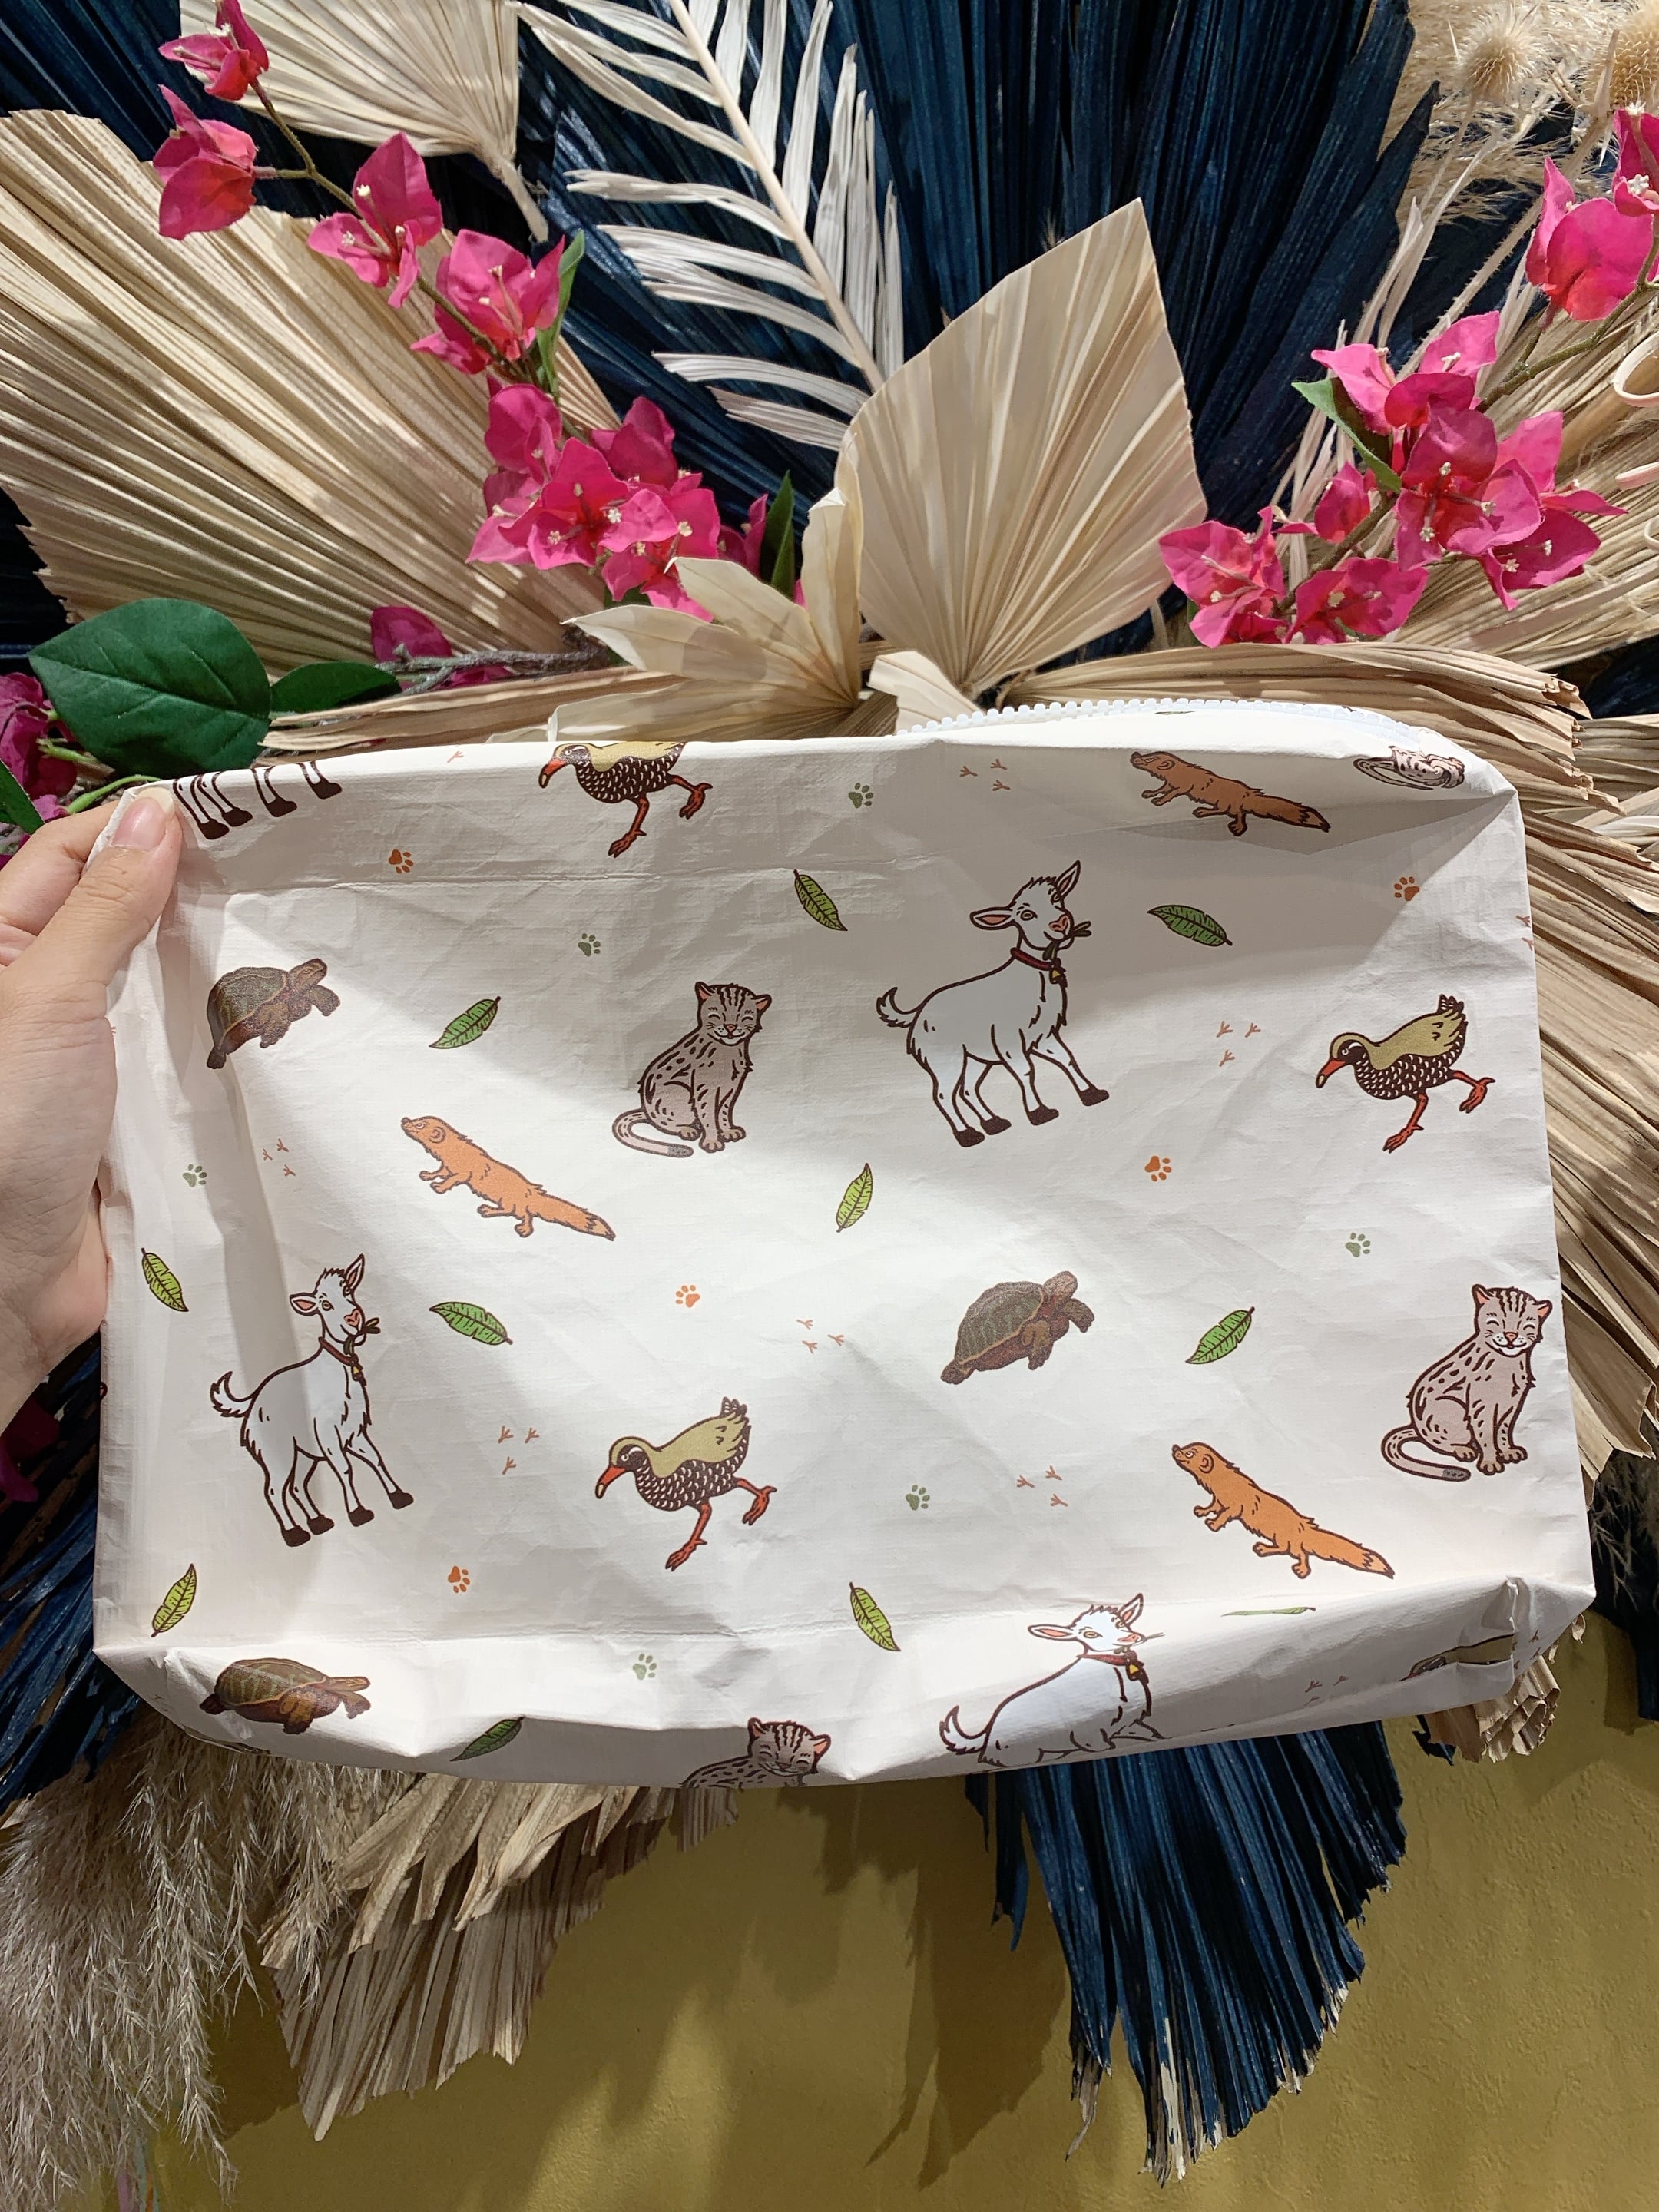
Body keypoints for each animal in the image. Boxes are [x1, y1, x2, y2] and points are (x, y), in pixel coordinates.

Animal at [209, 1255, 411, 1547]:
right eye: (325, 1305)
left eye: (348, 1291)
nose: (354, 1318)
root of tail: (253, 1402)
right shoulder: (328, 1433)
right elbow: (345, 1468)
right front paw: (358, 1513)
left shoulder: (355, 1431)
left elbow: (376, 1458)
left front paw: (398, 1496)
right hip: (276, 1451)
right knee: (274, 1490)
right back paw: (294, 1534)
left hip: (302, 1453)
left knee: (296, 1486)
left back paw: (319, 1522)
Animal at [876, 862, 1109, 1145]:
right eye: (1026, 914)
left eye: (1056, 898)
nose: (1061, 923)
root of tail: (918, 1014)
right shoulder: (1009, 1037)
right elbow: (1026, 1071)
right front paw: (1040, 1113)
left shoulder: (1042, 1035)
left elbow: (1067, 1059)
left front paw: (1092, 1094)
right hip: (943, 1057)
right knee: (943, 1094)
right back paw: (968, 1135)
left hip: (976, 1057)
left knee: (967, 1089)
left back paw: (994, 1123)